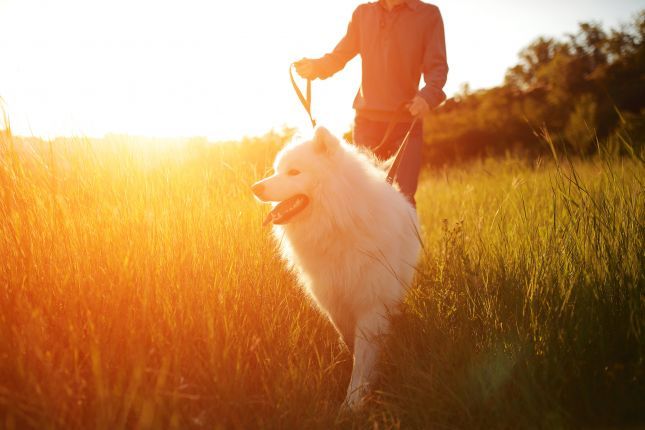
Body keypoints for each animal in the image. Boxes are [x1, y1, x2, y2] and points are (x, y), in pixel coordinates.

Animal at [252, 125, 422, 410]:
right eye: (277, 170)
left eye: (294, 172)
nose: (255, 188)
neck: (337, 223)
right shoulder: (332, 299)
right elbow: (348, 338)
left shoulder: (371, 302)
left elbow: (363, 357)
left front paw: (353, 401)